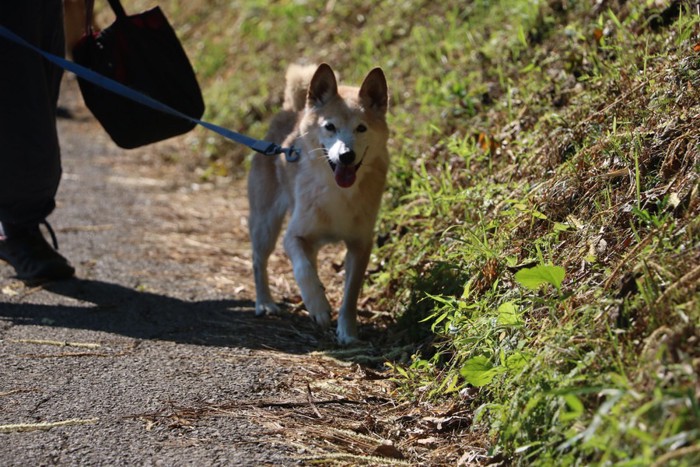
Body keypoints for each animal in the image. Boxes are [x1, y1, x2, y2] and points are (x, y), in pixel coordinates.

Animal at [246, 63, 388, 344]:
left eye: (361, 128)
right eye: (329, 126)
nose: (346, 156)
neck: (339, 192)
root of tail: (292, 110)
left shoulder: (360, 244)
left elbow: (350, 295)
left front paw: (347, 332)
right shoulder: (293, 236)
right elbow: (302, 270)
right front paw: (319, 307)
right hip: (266, 223)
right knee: (259, 261)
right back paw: (265, 302)